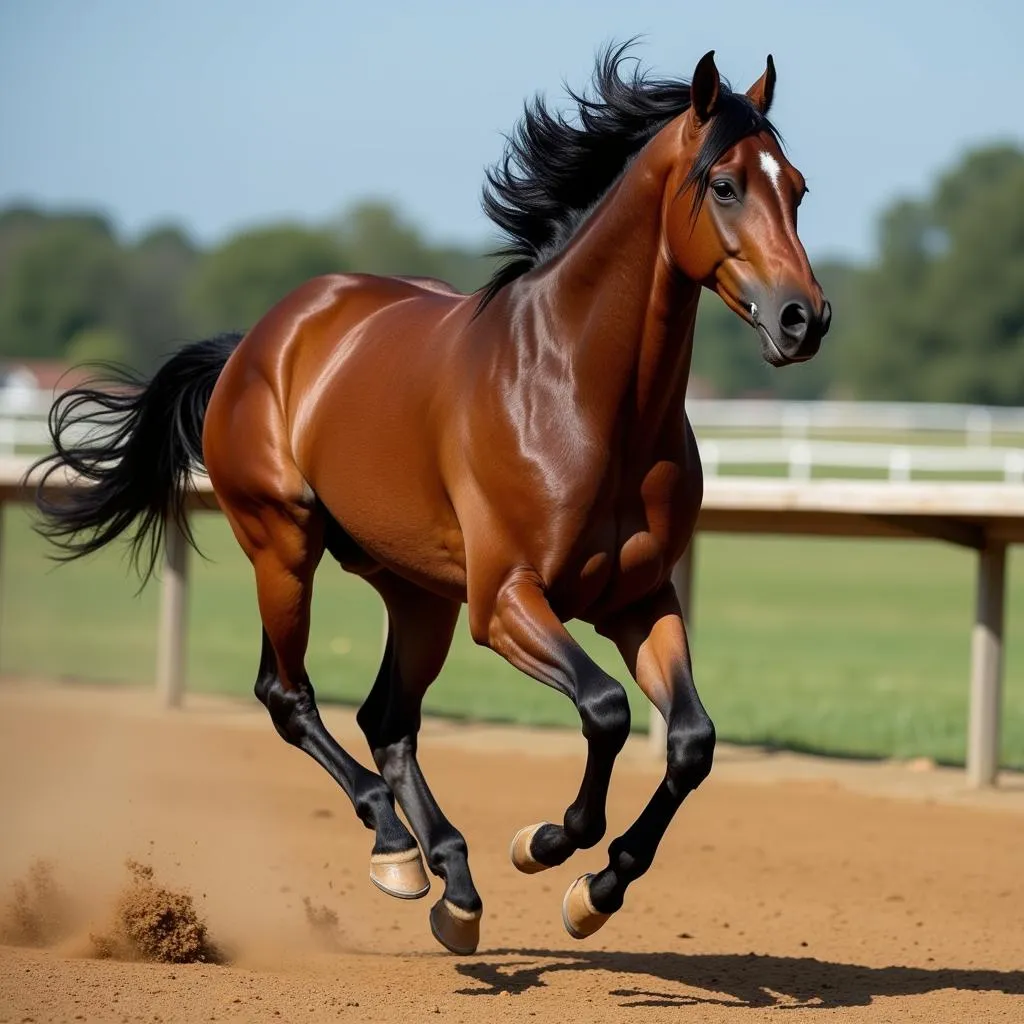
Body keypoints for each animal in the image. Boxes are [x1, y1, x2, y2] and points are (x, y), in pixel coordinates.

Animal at [32, 46, 831, 958]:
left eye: (797, 187)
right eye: (726, 185)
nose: (804, 318)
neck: (585, 397)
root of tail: (259, 342)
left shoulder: (638, 599)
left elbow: (690, 741)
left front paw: (596, 890)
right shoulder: (507, 601)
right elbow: (605, 710)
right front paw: (546, 843)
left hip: (417, 593)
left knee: (388, 719)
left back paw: (452, 883)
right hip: (284, 546)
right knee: (289, 696)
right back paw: (396, 849)